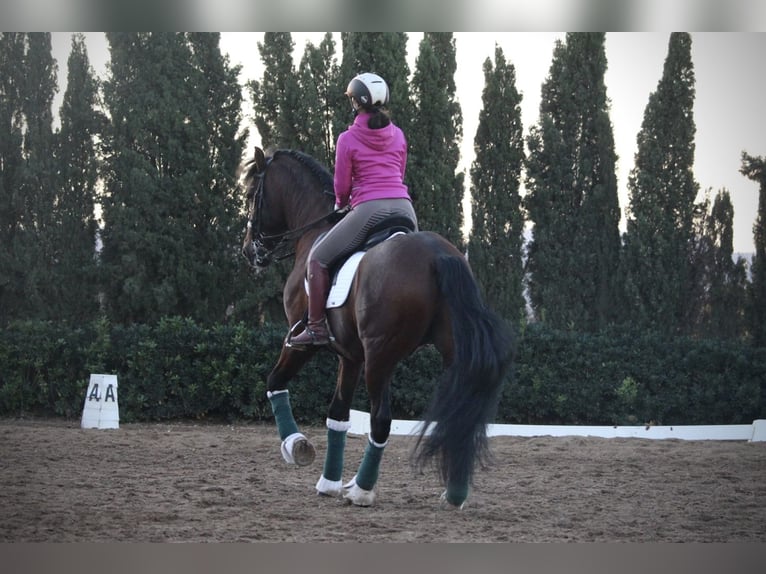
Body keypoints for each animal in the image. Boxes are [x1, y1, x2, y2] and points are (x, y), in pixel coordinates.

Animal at [242, 147, 516, 508]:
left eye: (250, 194)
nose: (249, 251)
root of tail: (437, 255)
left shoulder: (301, 344)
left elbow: (275, 381)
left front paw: (296, 446)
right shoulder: (349, 356)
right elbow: (338, 415)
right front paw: (328, 482)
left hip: (380, 356)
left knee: (382, 420)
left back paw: (362, 489)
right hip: (447, 352)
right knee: (461, 413)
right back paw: (454, 492)